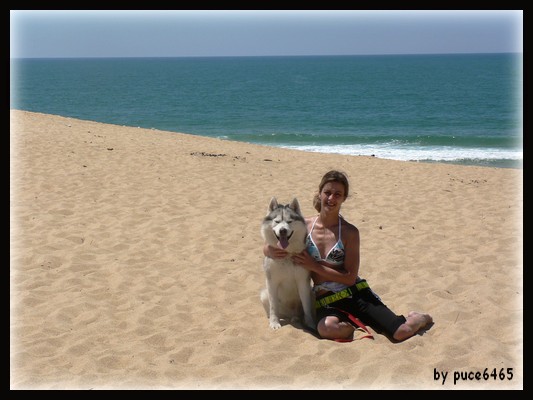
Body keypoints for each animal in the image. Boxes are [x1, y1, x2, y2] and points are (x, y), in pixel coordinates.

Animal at [258, 198, 314, 332]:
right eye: (277, 221)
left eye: (289, 221)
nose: (282, 230)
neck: (287, 254)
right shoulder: (272, 282)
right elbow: (273, 306)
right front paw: (274, 322)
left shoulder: (303, 282)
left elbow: (306, 307)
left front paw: (310, 323)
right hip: (264, 295)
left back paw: (297, 318)